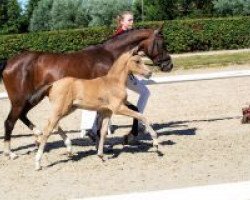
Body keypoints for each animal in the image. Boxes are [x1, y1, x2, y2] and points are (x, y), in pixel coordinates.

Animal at [0, 26, 173, 159]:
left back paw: (42, 137)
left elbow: (129, 111)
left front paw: (110, 139)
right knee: (10, 121)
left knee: (23, 116)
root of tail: (9, 62)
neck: (109, 55)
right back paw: (11, 153)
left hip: (32, 99)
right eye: (161, 43)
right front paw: (124, 137)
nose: (168, 65)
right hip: (20, 99)